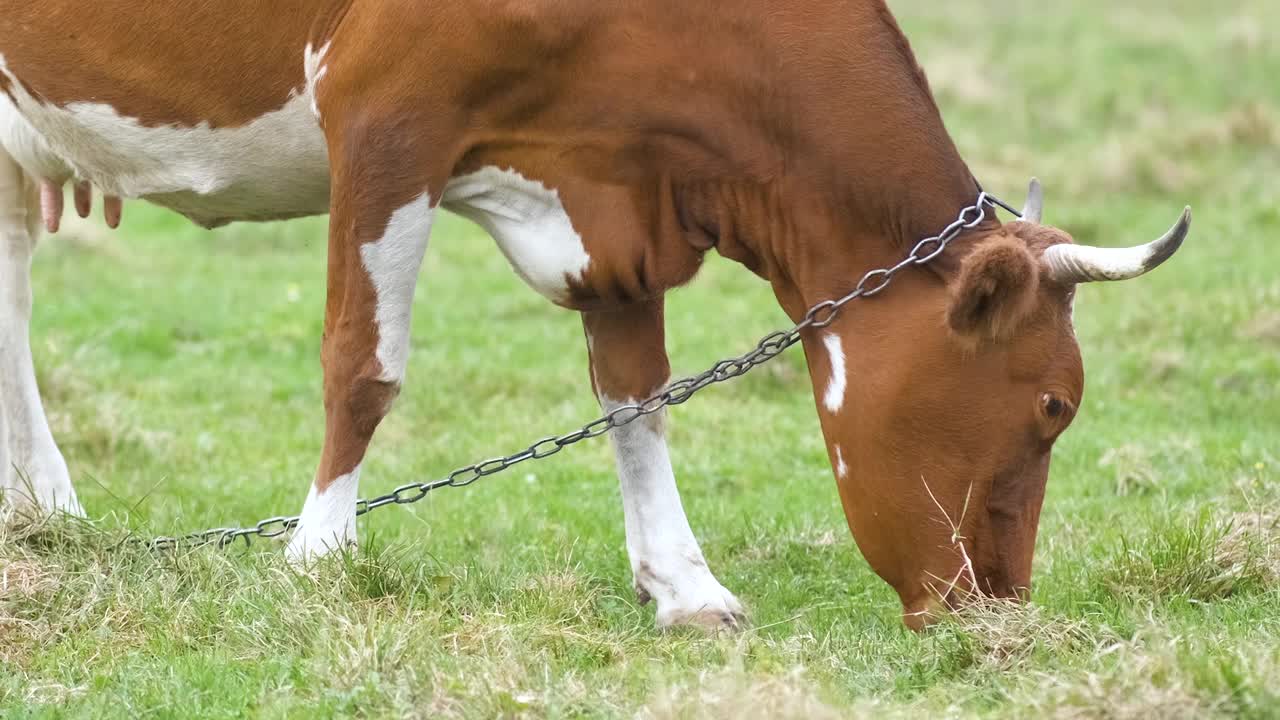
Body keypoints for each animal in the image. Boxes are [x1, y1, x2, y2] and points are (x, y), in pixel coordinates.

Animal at [0, 1, 1187, 627]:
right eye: (1052, 406)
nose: (1001, 605)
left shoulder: (624, 185)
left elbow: (636, 397)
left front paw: (684, 584)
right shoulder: (385, 117)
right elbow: (363, 366)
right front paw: (320, 555)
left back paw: (44, 511)